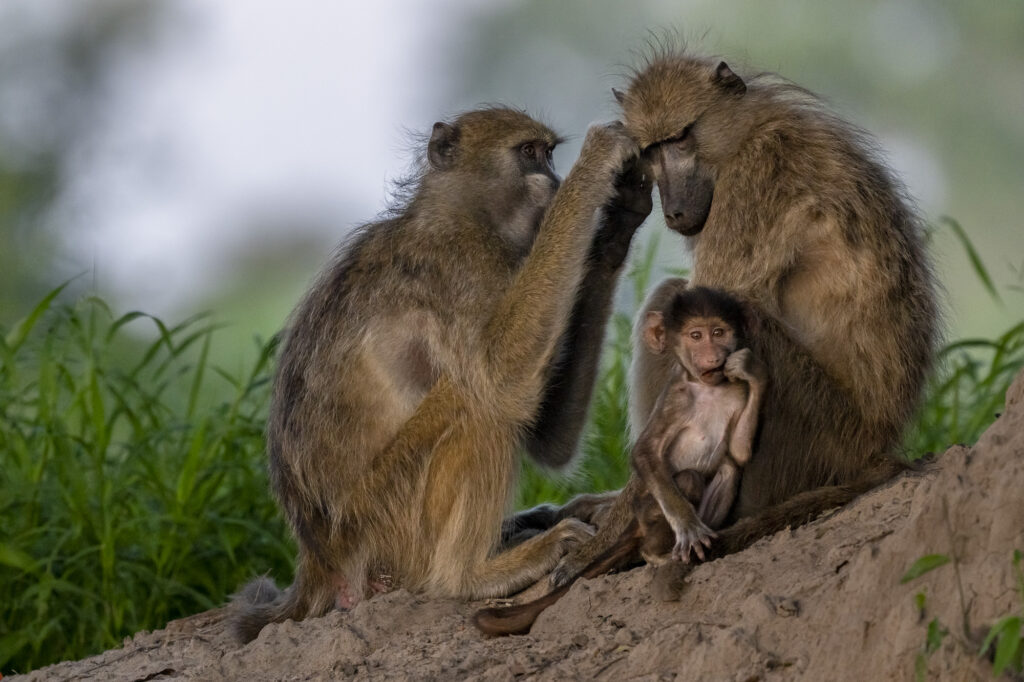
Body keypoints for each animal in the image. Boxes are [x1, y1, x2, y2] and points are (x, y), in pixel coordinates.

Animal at [227, 106, 652, 642]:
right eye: (531, 154)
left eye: (549, 155)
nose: (557, 183)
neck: (456, 209)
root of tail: (323, 560)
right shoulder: (462, 263)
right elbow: (499, 377)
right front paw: (598, 164)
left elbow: (545, 438)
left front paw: (618, 223)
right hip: (390, 525)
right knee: (475, 406)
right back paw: (475, 575)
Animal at [473, 285, 764, 636]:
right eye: (696, 335)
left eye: (718, 333)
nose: (710, 357)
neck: (709, 388)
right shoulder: (675, 397)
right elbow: (645, 453)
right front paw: (687, 527)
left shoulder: (734, 393)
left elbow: (739, 452)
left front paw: (751, 370)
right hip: (647, 514)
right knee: (688, 480)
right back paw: (657, 553)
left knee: (728, 469)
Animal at [551, 46, 938, 587]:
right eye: (651, 149)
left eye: (681, 138)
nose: (674, 211)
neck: (743, 134)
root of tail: (876, 450)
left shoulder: (752, 184)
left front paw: (592, 551)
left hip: (817, 436)